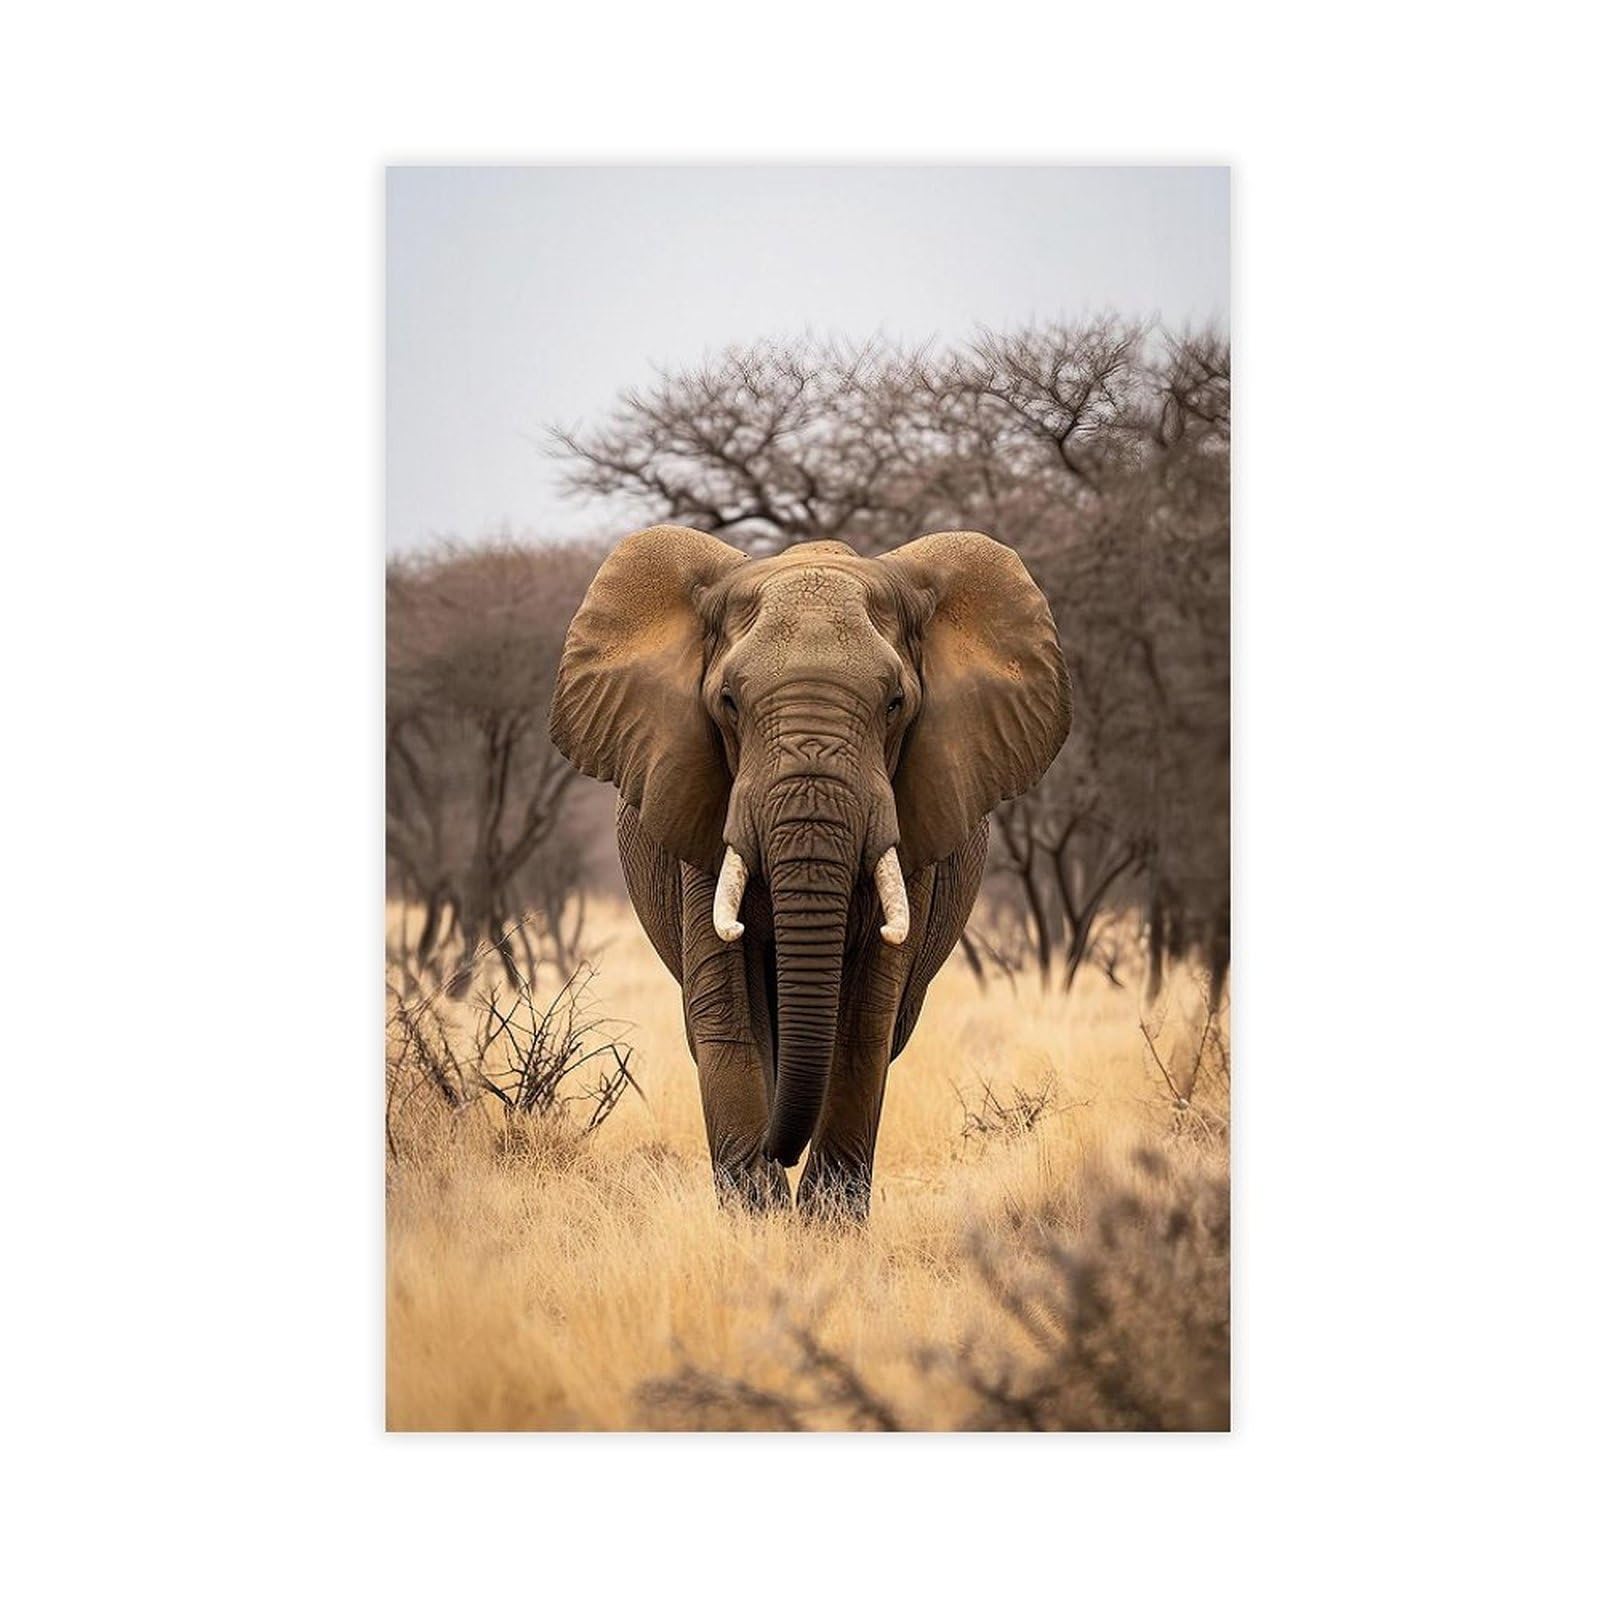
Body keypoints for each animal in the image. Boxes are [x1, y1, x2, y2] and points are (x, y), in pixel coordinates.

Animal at [549, 525, 1072, 1217]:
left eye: (896, 703)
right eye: (728, 702)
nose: (780, 1153)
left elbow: (867, 1019)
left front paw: (827, 1223)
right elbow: (727, 1011)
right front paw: (759, 1220)